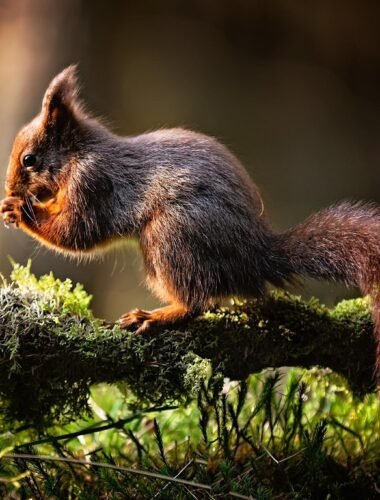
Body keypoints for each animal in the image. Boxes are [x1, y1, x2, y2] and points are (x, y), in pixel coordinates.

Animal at [2, 65, 380, 378]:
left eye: (29, 159)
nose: (9, 187)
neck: (78, 155)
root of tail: (256, 255)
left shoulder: (93, 184)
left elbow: (77, 233)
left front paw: (18, 209)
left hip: (171, 236)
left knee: (198, 302)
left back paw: (155, 317)